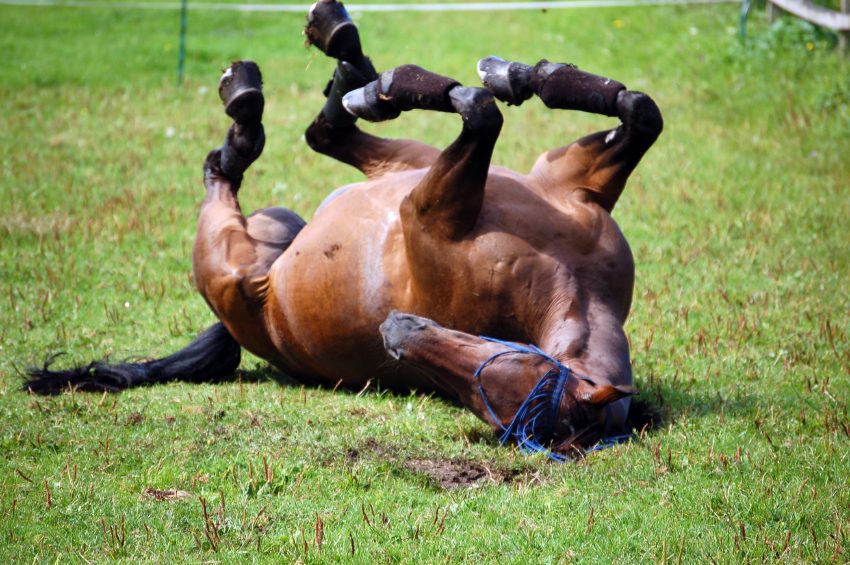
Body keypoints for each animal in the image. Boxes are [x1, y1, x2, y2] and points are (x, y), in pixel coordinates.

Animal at [26, 0, 664, 456]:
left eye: (491, 394)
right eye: (517, 364)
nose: (399, 331)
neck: (567, 279)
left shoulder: (424, 209)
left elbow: (483, 112)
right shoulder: (565, 180)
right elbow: (638, 111)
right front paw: (528, 75)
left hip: (231, 264)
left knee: (237, 165)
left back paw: (266, 102)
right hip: (397, 165)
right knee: (324, 132)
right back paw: (344, 64)